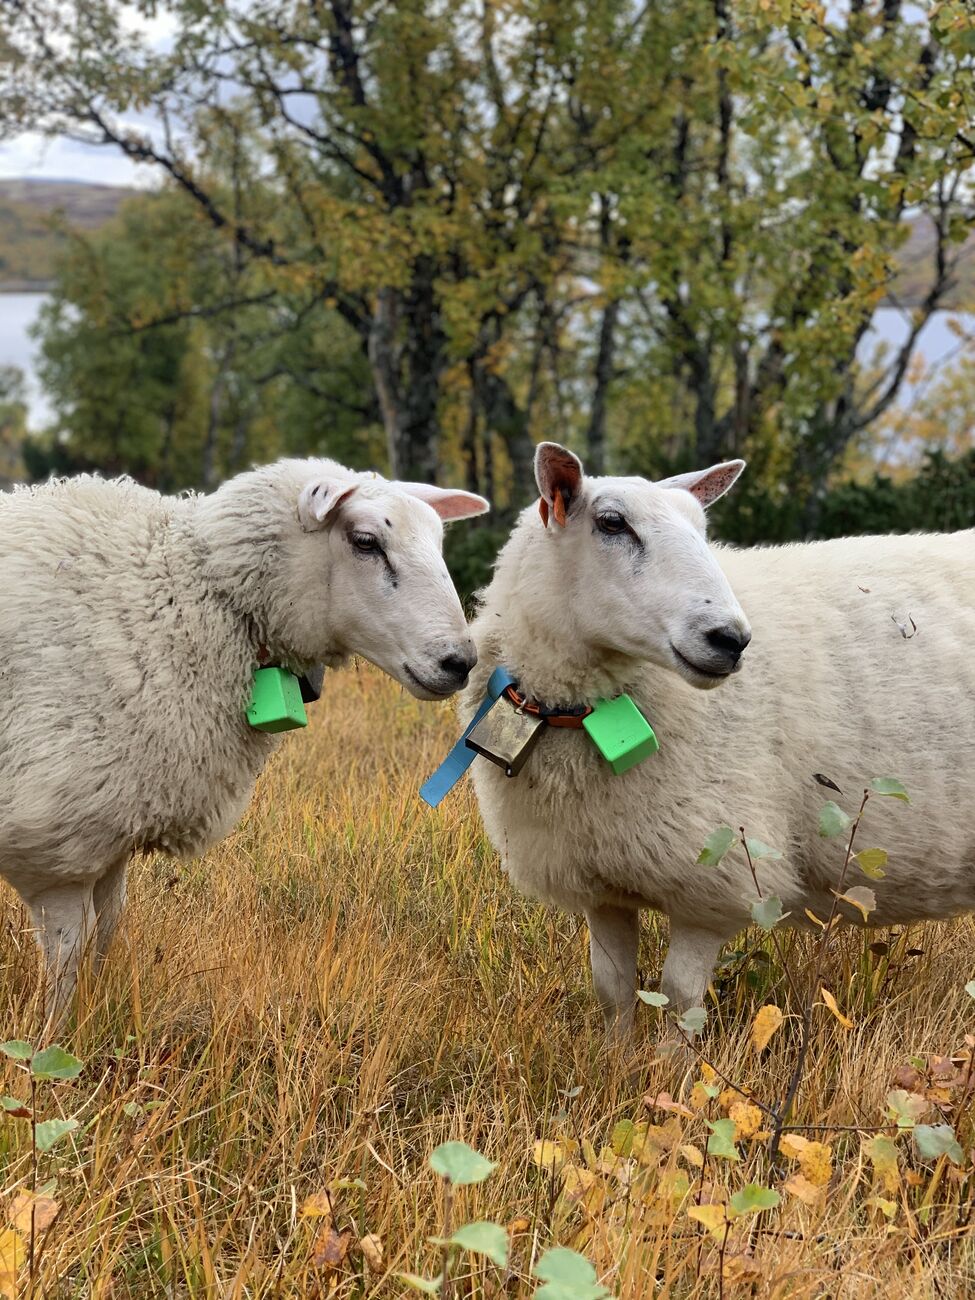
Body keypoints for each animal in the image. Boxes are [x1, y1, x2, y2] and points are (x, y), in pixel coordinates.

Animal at [0, 457, 487, 1016]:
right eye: (366, 541)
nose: (460, 663)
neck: (193, 595)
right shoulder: (55, 843)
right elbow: (68, 955)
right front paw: (54, 1034)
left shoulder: (113, 826)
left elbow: (106, 930)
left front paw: (95, 1018)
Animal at [463, 441, 975, 1040]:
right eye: (611, 523)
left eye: (702, 529)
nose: (731, 639)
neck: (583, 716)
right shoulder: (600, 880)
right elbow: (612, 990)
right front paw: (613, 1058)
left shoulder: (712, 882)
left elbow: (680, 1001)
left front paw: (669, 1067)